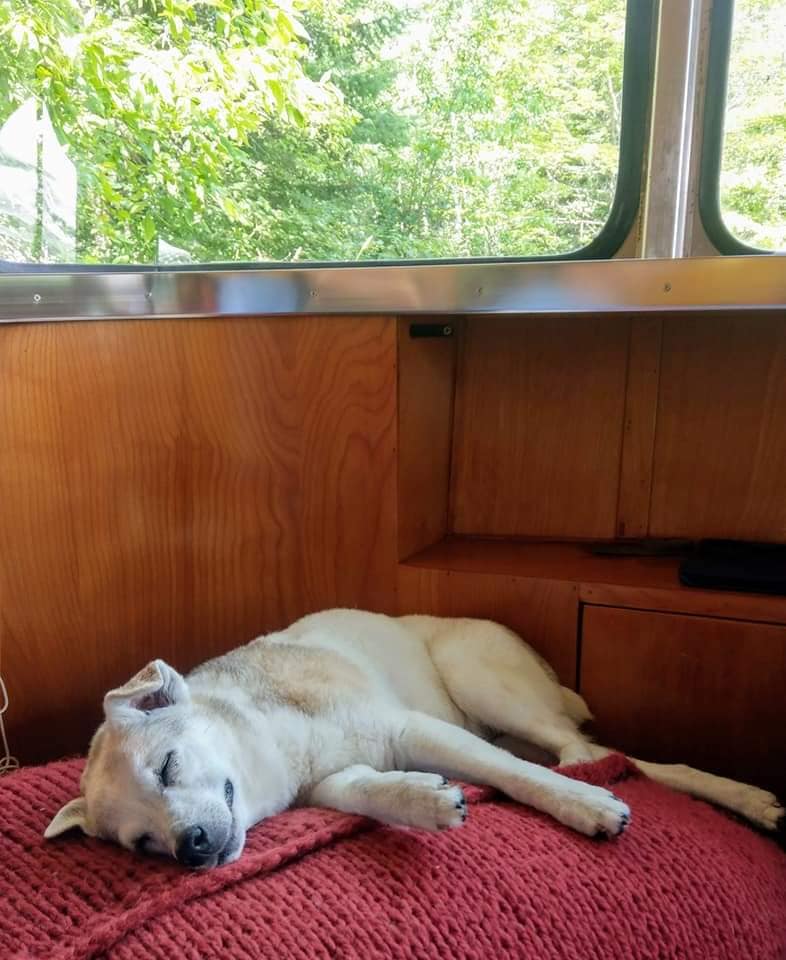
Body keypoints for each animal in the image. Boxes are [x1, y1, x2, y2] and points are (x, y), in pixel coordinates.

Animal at [45, 609, 784, 868]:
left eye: (167, 767)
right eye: (143, 846)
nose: (191, 850)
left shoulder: (415, 726)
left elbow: (523, 781)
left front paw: (583, 807)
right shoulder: (334, 782)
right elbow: (367, 791)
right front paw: (423, 799)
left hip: (483, 681)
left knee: (583, 753)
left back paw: (591, 782)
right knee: (625, 759)